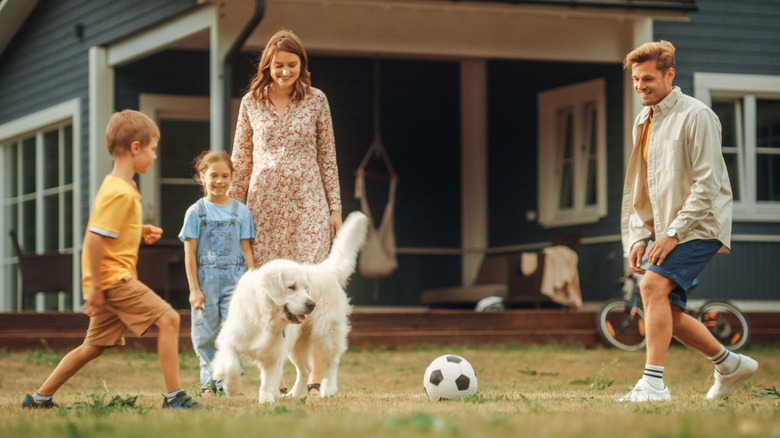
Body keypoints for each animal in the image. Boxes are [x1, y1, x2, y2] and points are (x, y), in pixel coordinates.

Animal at [212, 212, 370, 404]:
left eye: (306, 288)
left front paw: (266, 399)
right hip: (298, 345)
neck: (264, 318)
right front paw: (231, 386)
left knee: (331, 361)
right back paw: (294, 394)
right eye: (291, 287)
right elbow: (230, 365)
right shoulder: (230, 340)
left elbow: (268, 380)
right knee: (306, 369)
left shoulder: (274, 354)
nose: (311, 304)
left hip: (326, 333)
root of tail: (327, 270)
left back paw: (328, 389)